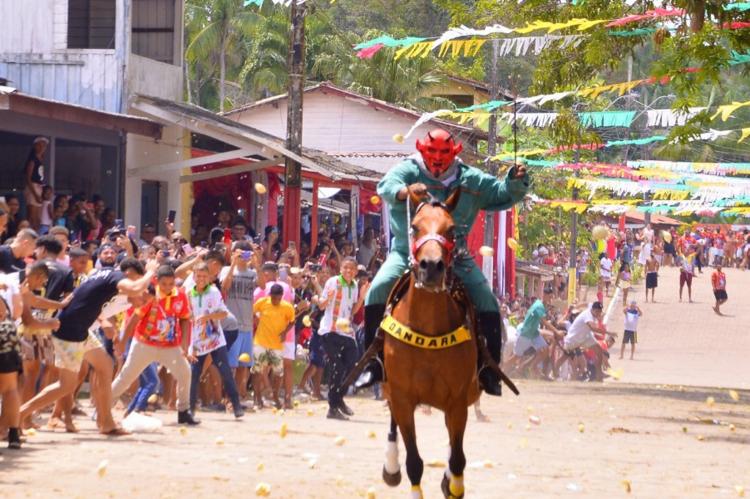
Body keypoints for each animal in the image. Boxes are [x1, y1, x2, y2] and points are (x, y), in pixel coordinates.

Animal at [382, 188, 482, 499]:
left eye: (451, 230)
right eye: (415, 227)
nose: (431, 267)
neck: (427, 329)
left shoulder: (458, 400)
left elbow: (458, 460)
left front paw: (452, 482)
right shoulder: (402, 397)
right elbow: (414, 462)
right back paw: (391, 465)